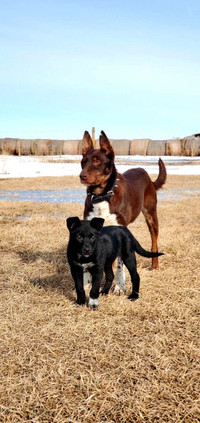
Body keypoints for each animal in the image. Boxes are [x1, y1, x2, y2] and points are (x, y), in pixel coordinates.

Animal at [79, 131, 166, 292]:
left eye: (97, 162)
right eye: (83, 161)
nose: (82, 176)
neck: (102, 196)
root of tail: (147, 176)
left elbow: (120, 264)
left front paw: (119, 287)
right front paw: (86, 284)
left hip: (151, 216)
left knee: (154, 241)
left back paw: (154, 265)